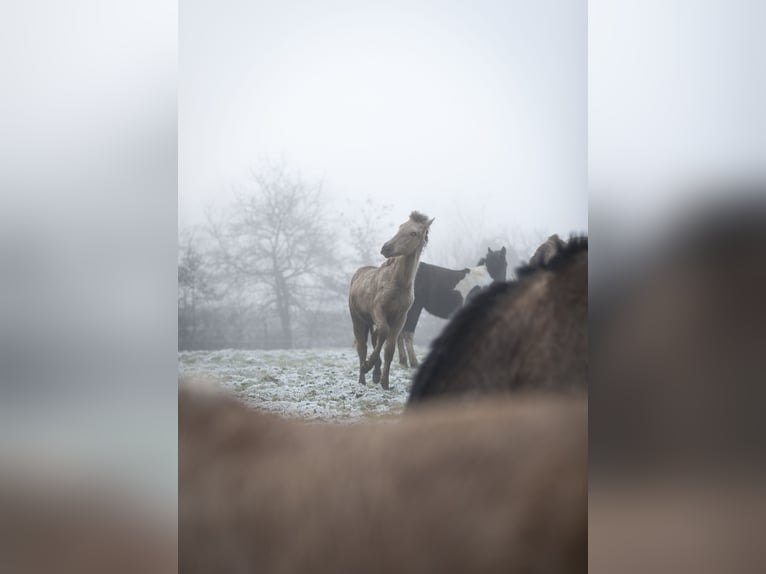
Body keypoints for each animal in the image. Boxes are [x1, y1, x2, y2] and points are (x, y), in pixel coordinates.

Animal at [352, 213, 436, 392]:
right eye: (400, 227)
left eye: (413, 233)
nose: (386, 248)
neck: (398, 284)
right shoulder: (378, 309)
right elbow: (383, 333)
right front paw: (369, 366)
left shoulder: (400, 318)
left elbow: (389, 349)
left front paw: (384, 382)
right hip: (358, 320)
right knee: (362, 347)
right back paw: (363, 377)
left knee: (374, 339)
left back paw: (375, 374)